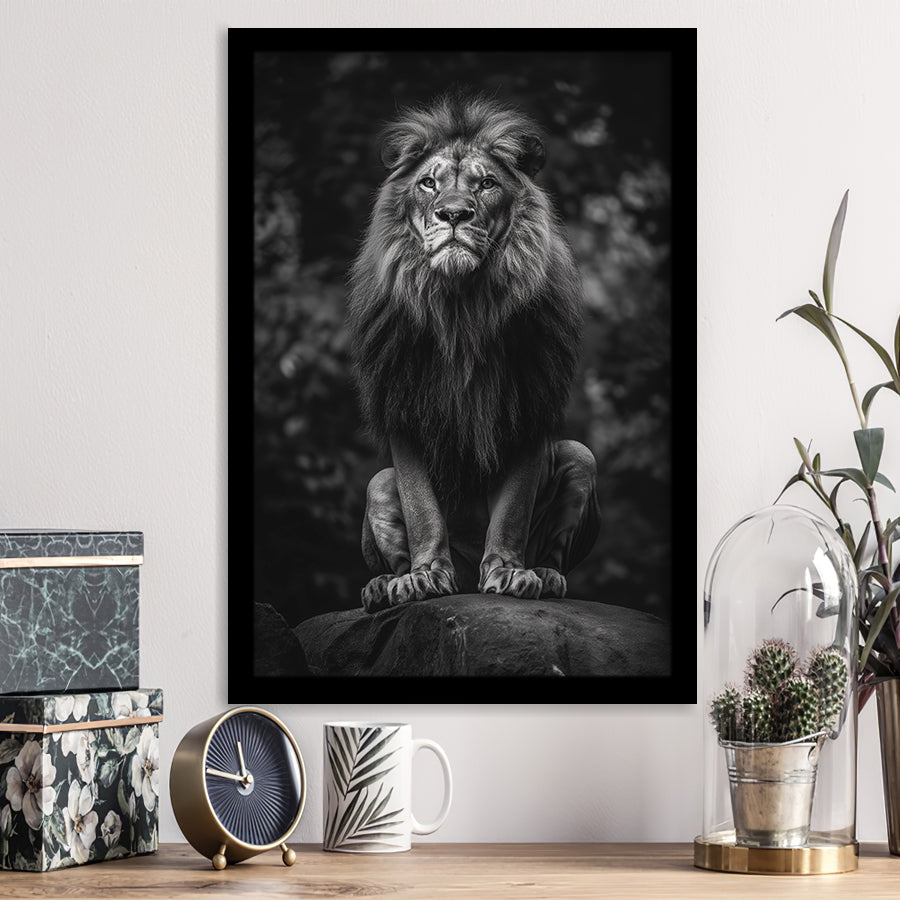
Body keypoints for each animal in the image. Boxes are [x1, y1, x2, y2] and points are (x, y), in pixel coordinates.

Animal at [347, 94, 600, 612]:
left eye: (486, 184)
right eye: (428, 182)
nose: (454, 214)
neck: (461, 305)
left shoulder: (529, 407)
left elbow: (512, 510)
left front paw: (509, 572)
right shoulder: (403, 407)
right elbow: (422, 509)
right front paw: (424, 576)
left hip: (581, 457)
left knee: (558, 552)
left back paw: (546, 576)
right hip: (378, 484)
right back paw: (385, 586)